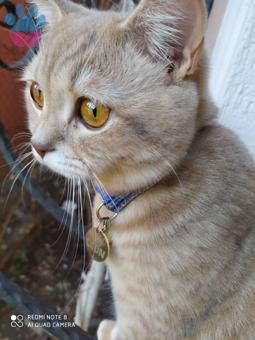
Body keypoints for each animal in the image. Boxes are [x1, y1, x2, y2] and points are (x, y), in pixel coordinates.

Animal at [22, 0, 255, 338]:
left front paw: (107, 328)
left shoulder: (144, 326)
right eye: (37, 93)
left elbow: (119, 330)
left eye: (93, 112)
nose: (38, 146)